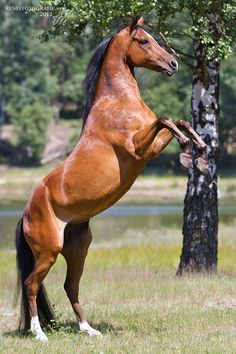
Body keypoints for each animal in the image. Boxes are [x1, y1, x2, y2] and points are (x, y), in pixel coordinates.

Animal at [15, 16, 207, 340]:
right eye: (143, 40)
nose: (172, 64)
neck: (117, 102)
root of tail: (25, 213)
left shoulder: (150, 145)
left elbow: (177, 120)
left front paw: (202, 154)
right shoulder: (139, 148)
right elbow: (166, 120)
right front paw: (186, 152)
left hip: (78, 249)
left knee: (70, 286)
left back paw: (89, 330)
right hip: (48, 252)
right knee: (31, 284)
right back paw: (39, 333)